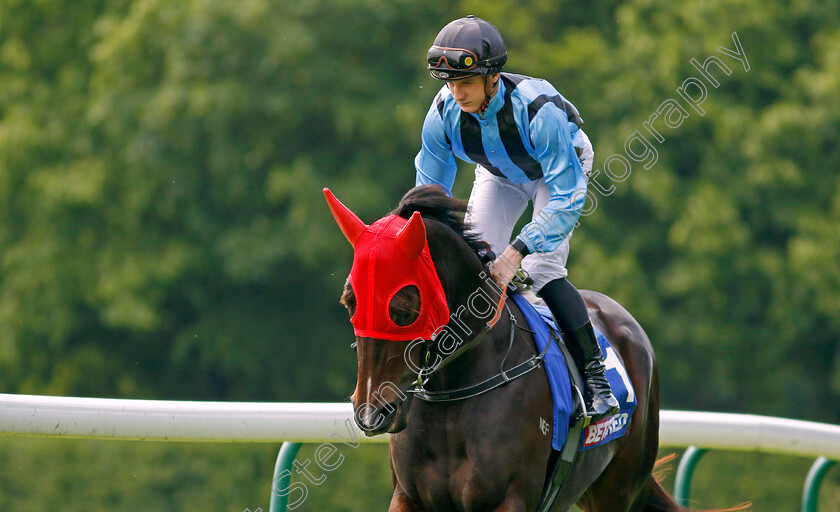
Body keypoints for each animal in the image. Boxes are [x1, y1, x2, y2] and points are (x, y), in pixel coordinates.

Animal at [324, 185, 732, 512]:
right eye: (350, 302)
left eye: (405, 309)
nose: (371, 413)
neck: (453, 395)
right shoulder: (409, 497)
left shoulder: (510, 498)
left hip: (619, 490)